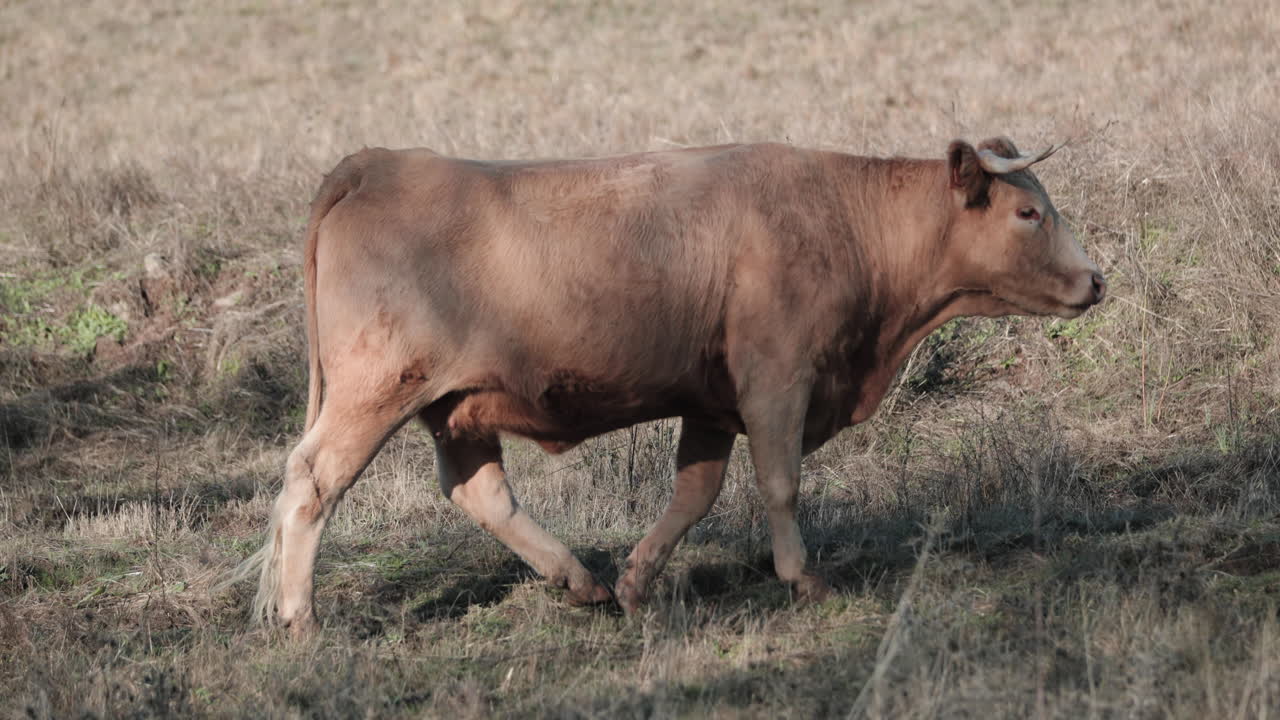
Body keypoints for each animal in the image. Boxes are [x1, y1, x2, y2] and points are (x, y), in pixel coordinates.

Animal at [230, 137, 1105, 635]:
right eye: (1029, 213)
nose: (1097, 279)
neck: (843, 220)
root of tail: (380, 162)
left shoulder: (712, 400)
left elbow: (696, 492)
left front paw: (636, 581)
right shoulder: (776, 379)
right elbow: (780, 483)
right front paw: (804, 579)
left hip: (455, 408)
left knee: (480, 493)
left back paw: (579, 580)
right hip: (373, 391)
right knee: (310, 483)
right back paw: (300, 619)